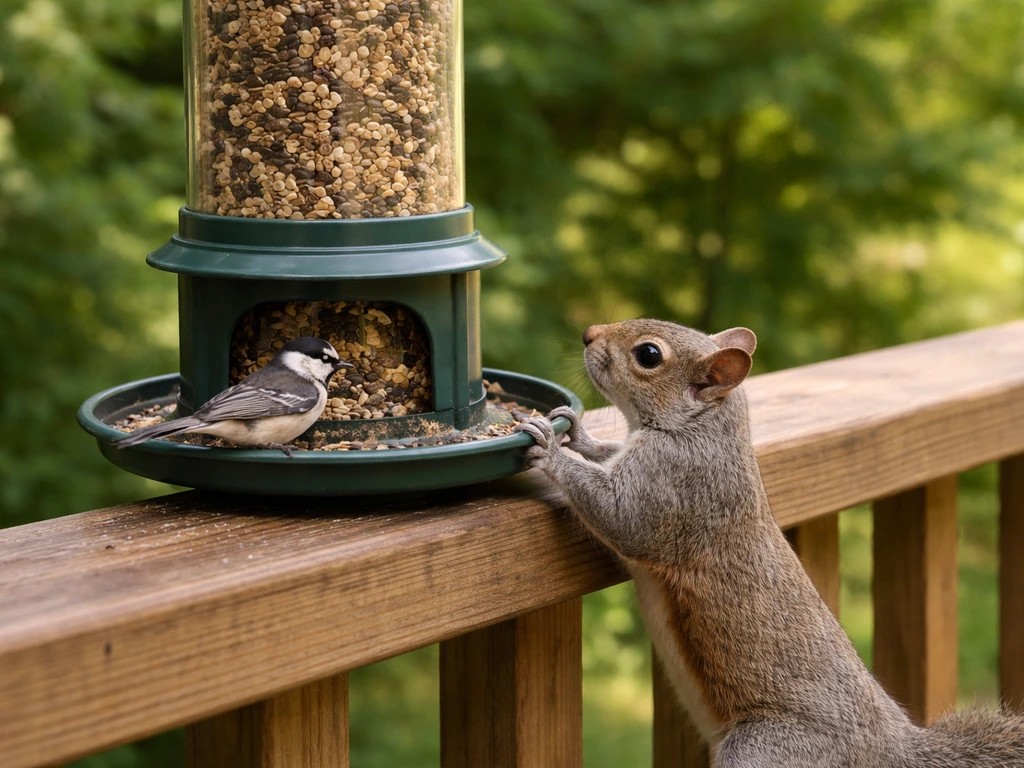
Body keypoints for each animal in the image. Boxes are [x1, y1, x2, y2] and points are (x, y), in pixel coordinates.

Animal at [515, 319, 1024, 767]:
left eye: (649, 355)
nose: (588, 334)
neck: (703, 427)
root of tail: (894, 752)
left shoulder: (676, 488)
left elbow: (621, 517)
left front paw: (551, 449)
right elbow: (605, 454)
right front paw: (575, 431)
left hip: (765, 749)